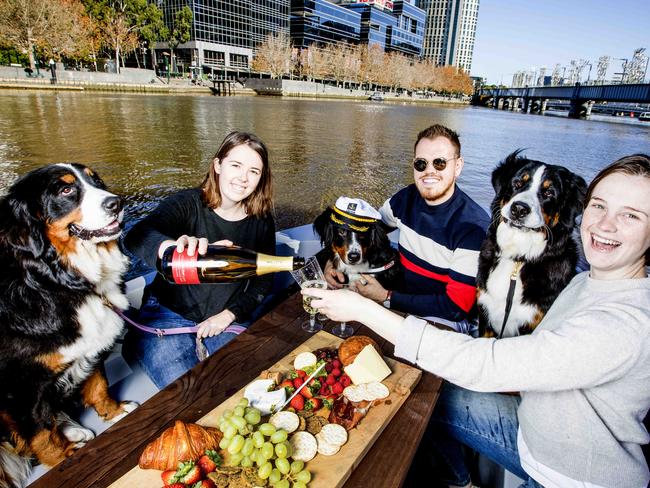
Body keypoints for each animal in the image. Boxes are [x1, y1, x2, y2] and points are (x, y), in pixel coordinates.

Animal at [0, 165, 135, 488]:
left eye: (95, 180)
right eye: (65, 190)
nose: (117, 203)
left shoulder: (91, 347)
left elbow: (99, 386)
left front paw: (116, 412)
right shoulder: (21, 386)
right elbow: (40, 436)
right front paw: (64, 461)